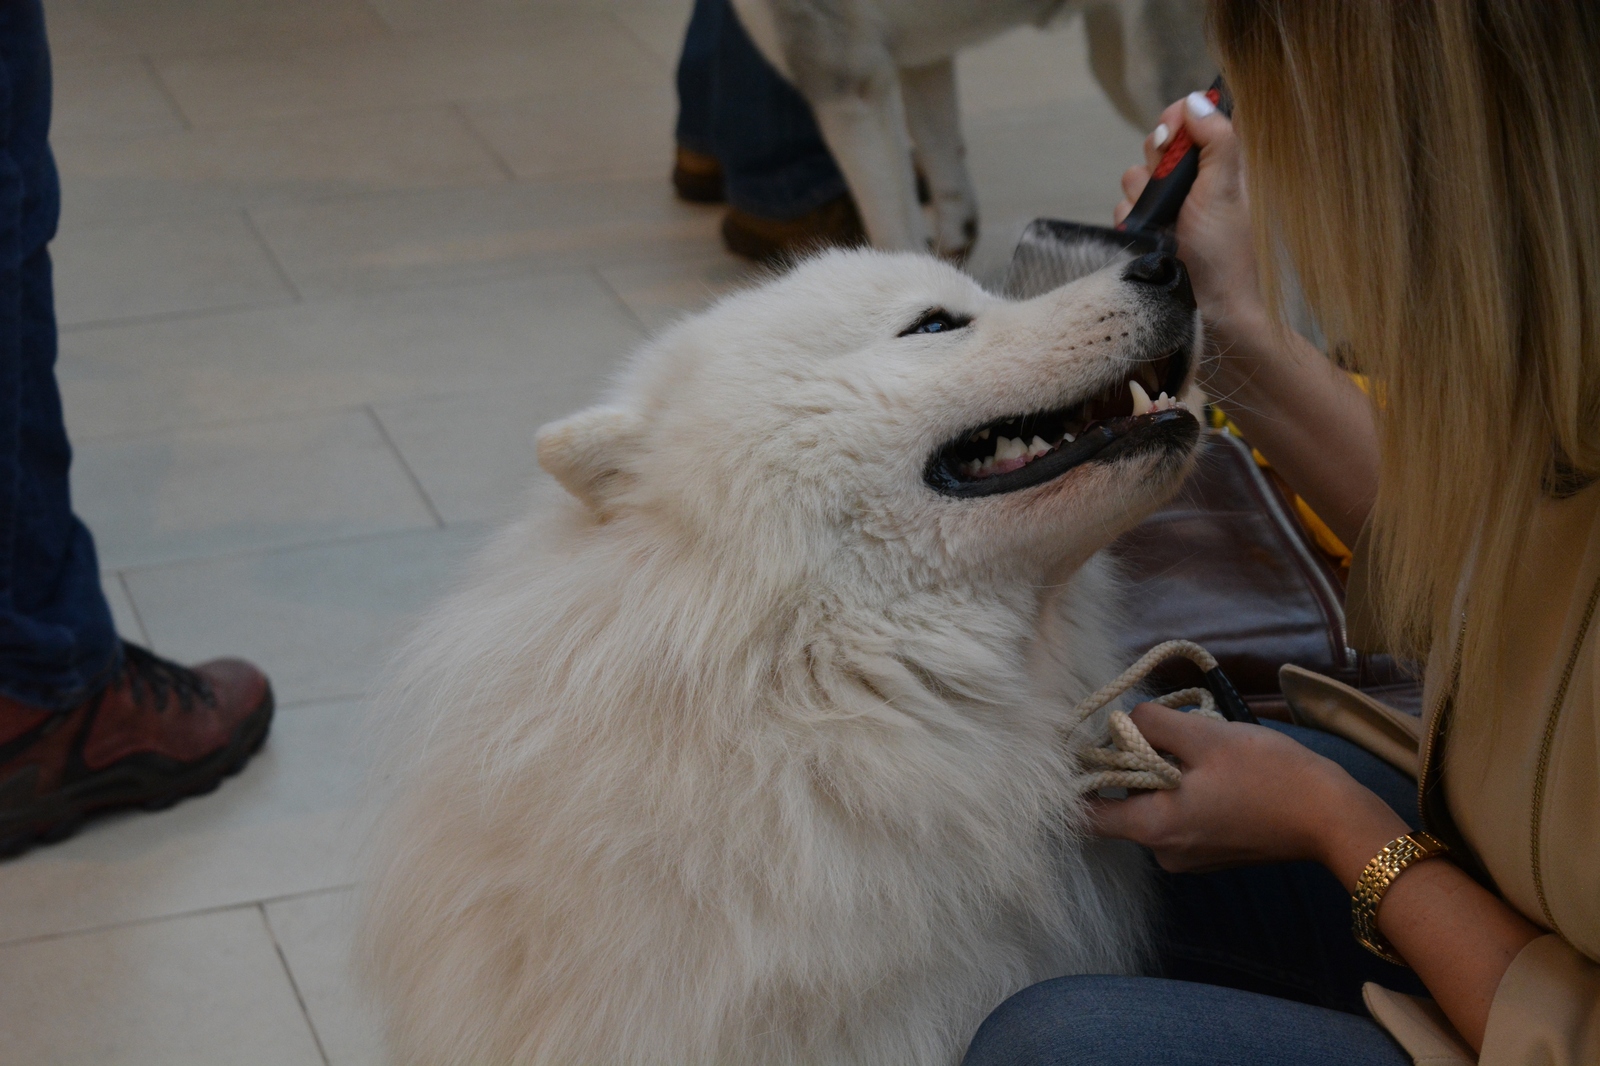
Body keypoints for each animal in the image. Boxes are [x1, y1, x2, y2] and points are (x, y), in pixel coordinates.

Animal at [732, 0, 1203, 256]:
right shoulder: (921, 63)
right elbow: (940, 157)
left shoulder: (848, 89)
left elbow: (890, 233)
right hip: (1115, 61)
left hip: (1150, 75)